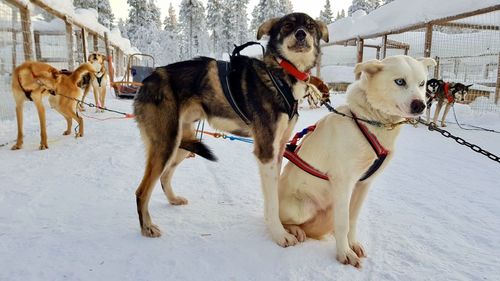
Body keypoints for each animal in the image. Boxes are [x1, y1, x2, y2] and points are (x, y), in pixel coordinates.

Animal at [132, 13, 328, 245]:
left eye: (310, 26)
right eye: (288, 25)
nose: (301, 34)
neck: (280, 76)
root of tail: (148, 80)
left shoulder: (278, 150)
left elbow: (272, 195)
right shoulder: (266, 152)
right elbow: (272, 200)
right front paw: (279, 234)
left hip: (182, 143)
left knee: (164, 177)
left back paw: (173, 199)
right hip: (166, 143)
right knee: (142, 191)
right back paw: (147, 226)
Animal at [280, 54, 436, 266]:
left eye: (422, 83)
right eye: (400, 81)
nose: (420, 105)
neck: (369, 122)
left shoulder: (363, 184)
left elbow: (352, 220)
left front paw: (351, 244)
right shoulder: (343, 184)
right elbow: (343, 223)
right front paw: (344, 253)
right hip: (302, 207)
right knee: (283, 221)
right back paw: (294, 230)